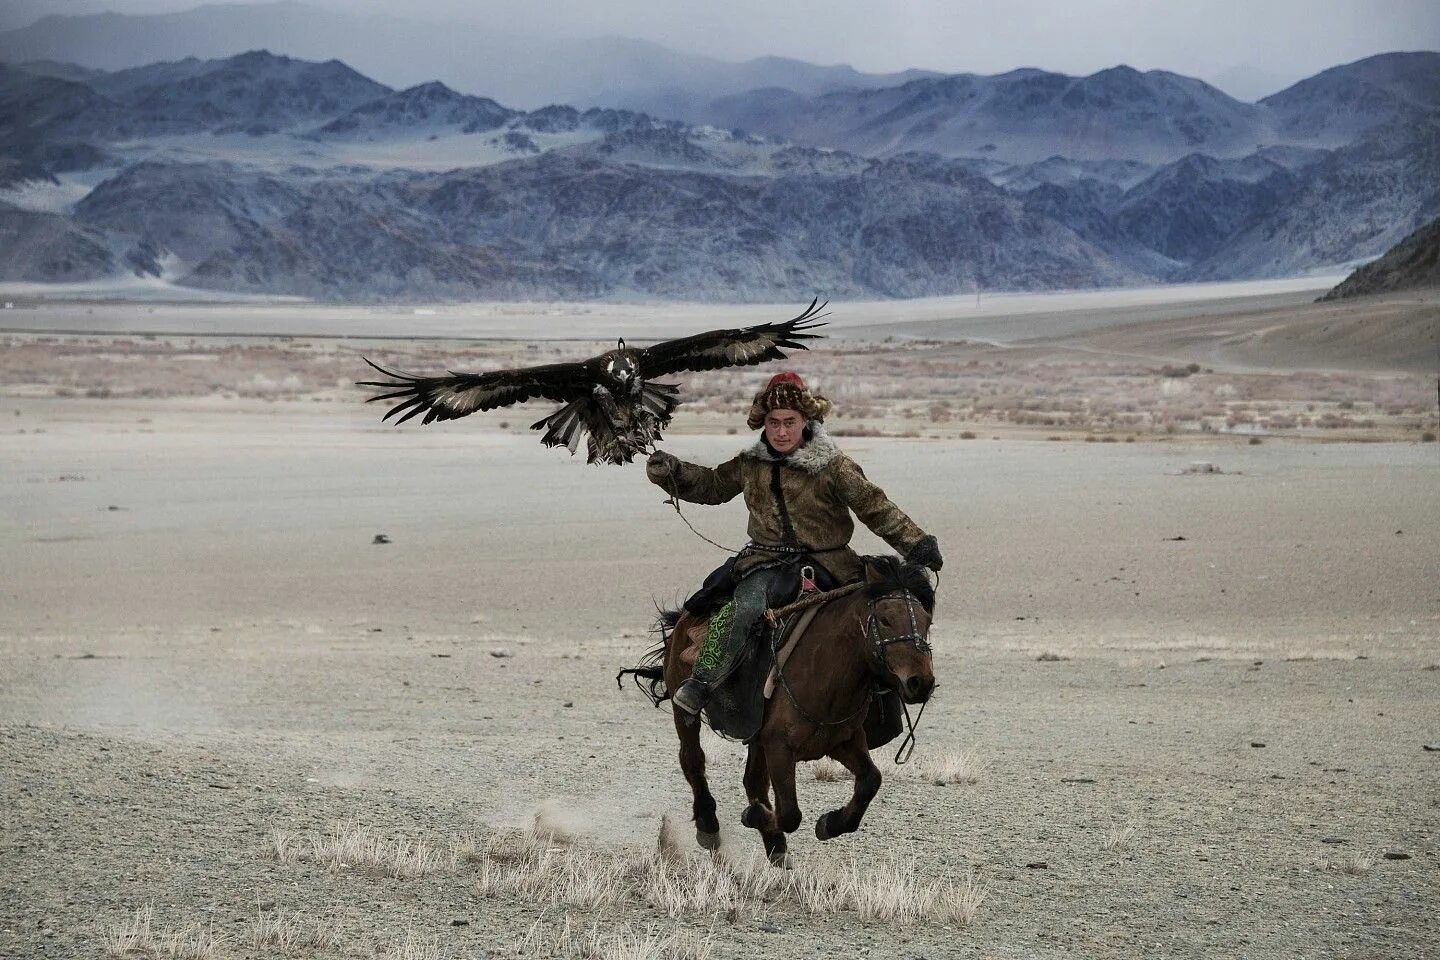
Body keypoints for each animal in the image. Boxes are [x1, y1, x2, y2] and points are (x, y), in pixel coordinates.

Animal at [642, 552, 933, 869]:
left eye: (927, 621)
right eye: (885, 619)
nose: (920, 682)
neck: (825, 670)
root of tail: (685, 618)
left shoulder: (842, 741)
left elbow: (870, 780)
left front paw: (829, 823)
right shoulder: (779, 747)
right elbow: (791, 814)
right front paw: (756, 816)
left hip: (757, 737)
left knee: (753, 781)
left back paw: (775, 845)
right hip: (685, 710)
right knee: (693, 759)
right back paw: (709, 826)